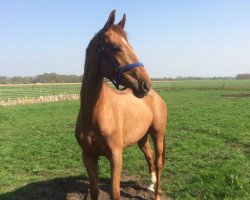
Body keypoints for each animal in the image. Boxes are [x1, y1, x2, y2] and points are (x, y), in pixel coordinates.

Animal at [75, 10, 167, 200]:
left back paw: (157, 193)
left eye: (130, 46)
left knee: (158, 162)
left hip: (158, 134)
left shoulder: (116, 156)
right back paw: (150, 184)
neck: (94, 112)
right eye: (116, 47)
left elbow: (115, 192)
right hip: (142, 138)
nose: (145, 84)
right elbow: (94, 190)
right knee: (149, 157)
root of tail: (156, 97)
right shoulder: (88, 156)